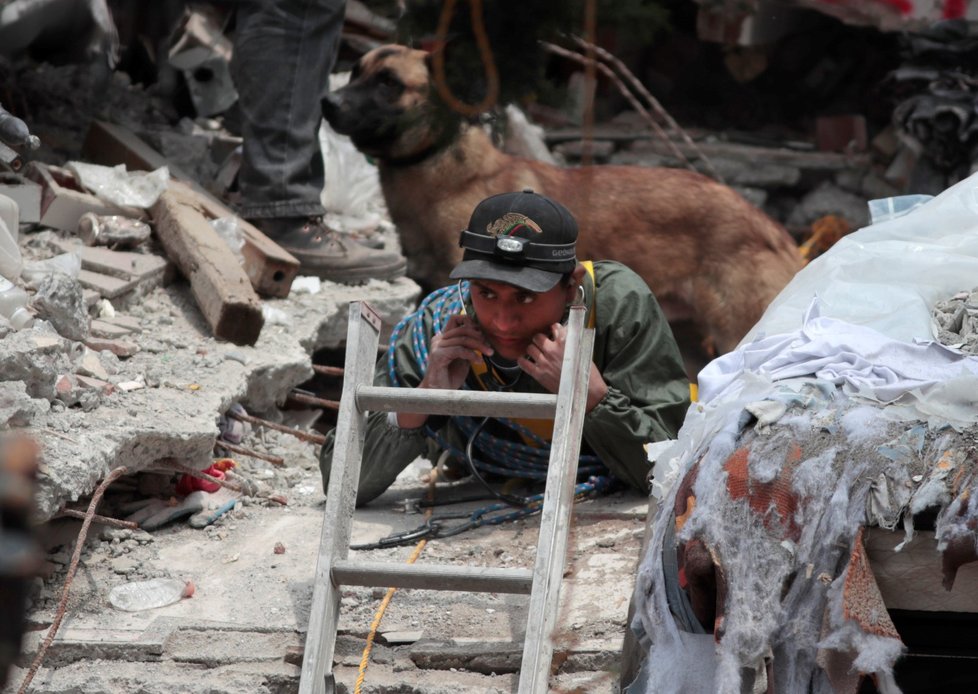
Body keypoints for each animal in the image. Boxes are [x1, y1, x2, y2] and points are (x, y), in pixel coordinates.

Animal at [322, 46, 800, 356]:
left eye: (389, 83)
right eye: (354, 73)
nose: (327, 102)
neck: (446, 173)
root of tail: (773, 229)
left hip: (737, 331)